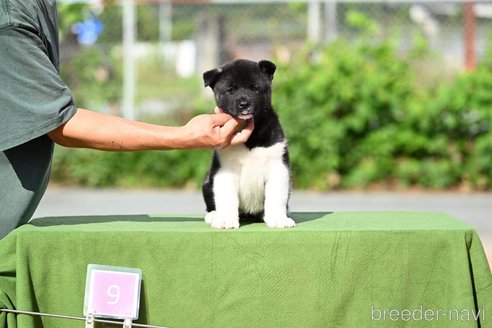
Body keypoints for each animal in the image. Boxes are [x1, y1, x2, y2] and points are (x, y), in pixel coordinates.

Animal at [201, 58, 294, 228]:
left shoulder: (278, 167)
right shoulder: (225, 169)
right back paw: (213, 215)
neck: (252, 137)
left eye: (255, 88)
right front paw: (225, 219)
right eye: (230, 90)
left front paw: (278, 218)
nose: (244, 104)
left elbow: (276, 197)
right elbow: (226, 197)